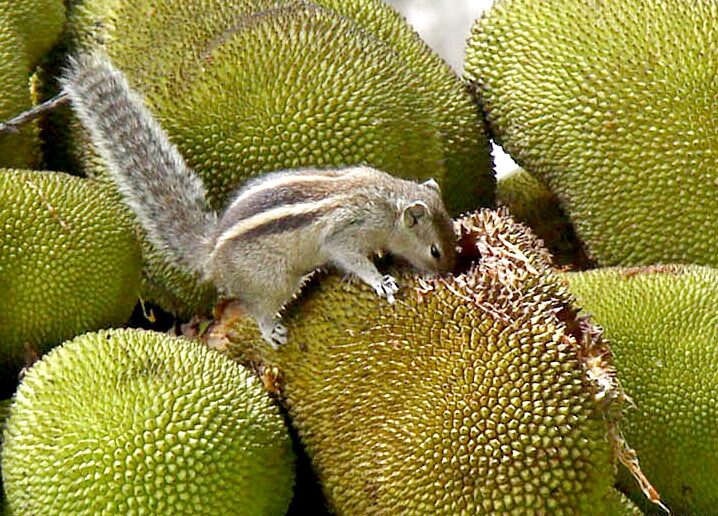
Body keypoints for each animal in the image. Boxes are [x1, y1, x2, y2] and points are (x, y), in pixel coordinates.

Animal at [60, 53, 457, 347]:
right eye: (435, 251)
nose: (449, 272)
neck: (388, 202)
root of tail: (211, 253)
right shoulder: (348, 230)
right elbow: (350, 258)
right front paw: (380, 281)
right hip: (271, 281)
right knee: (255, 307)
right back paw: (271, 330)